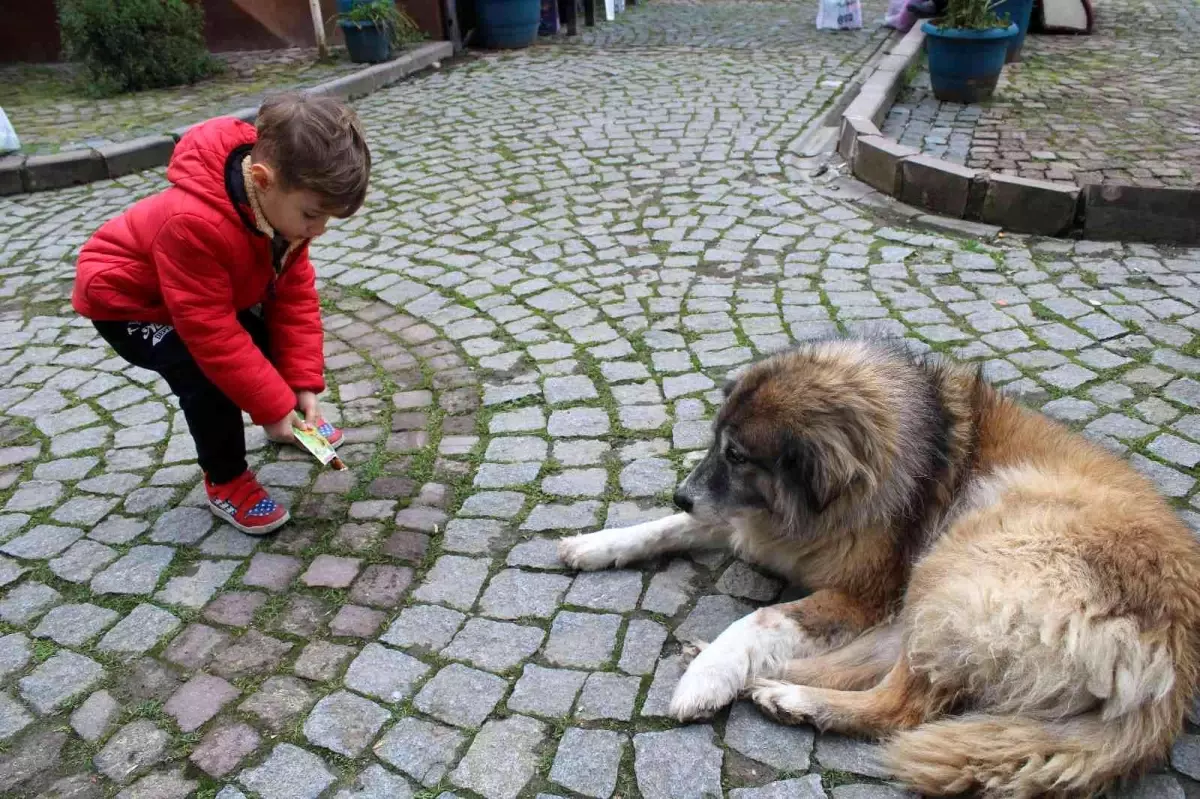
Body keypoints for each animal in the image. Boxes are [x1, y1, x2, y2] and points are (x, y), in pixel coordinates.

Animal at [556, 338, 1200, 796]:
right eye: (717, 443)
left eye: (738, 456)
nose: (682, 493)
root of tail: (1170, 673)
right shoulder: (751, 525)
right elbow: (670, 529)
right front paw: (598, 543)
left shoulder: (859, 593)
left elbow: (760, 619)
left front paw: (708, 676)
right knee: (876, 663)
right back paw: (758, 677)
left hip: (964, 557)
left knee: (902, 703)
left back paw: (789, 697)